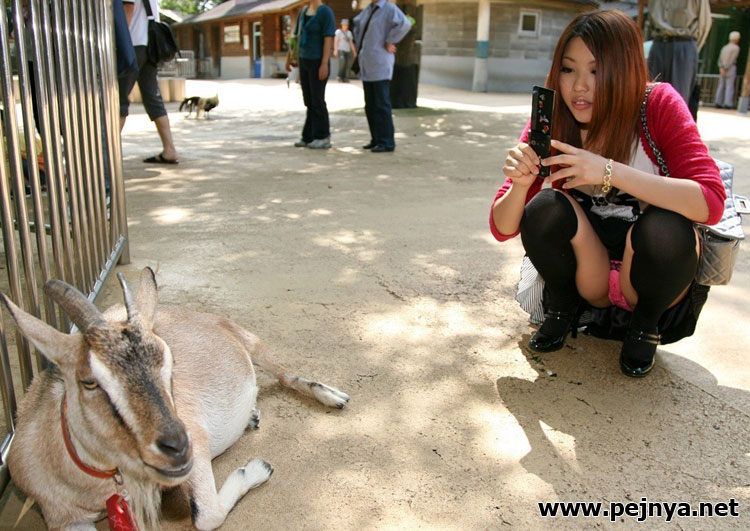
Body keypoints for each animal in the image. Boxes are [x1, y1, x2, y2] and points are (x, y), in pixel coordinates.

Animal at [0, 267, 350, 530]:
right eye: (89, 381)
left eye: (169, 362)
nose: (178, 446)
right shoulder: (64, 518)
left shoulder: (195, 442)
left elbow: (207, 515)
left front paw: (255, 469)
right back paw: (252, 414)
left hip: (249, 339)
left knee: (284, 374)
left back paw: (331, 395)